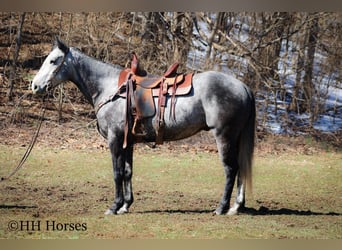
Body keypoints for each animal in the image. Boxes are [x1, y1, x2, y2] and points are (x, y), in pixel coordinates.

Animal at [32, 40, 255, 216]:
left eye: (53, 60)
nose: (34, 86)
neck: (110, 88)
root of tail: (243, 87)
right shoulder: (128, 141)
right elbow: (128, 171)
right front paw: (125, 206)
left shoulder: (114, 139)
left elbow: (117, 172)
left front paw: (114, 206)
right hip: (235, 137)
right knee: (240, 168)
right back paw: (236, 207)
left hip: (224, 136)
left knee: (230, 169)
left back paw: (221, 207)